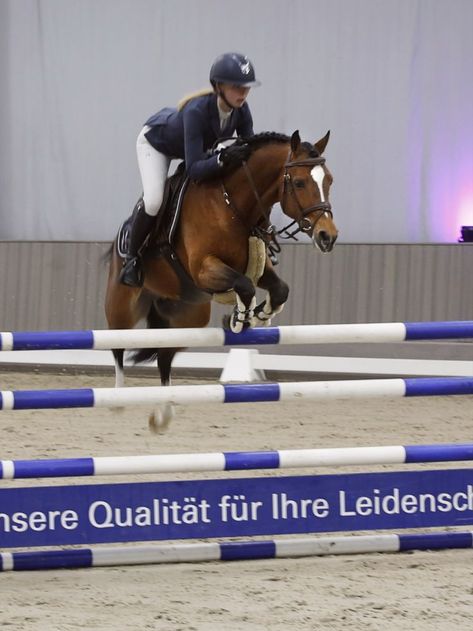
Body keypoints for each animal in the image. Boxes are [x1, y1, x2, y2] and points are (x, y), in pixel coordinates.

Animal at [105, 130, 338, 432]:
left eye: (329, 180)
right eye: (299, 182)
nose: (327, 236)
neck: (233, 204)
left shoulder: (257, 268)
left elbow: (279, 289)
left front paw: (258, 316)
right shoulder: (204, 268)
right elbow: (244, 286)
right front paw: (239, 318)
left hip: (189, 317)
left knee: (165, 357)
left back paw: (163, 415)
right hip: (122, 305)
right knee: (118, 346)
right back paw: (117, 400)